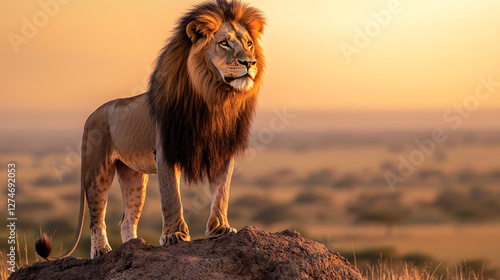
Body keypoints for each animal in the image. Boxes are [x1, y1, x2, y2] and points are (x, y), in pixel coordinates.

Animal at [36, 0, 266, 262]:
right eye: (224, 43)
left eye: (248, 43)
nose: (250, 63)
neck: (214, 98)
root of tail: (92, 114)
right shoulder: (165, 151)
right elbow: (171, 196)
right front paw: (174, 235)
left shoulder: (222, 150)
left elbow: (222, 192)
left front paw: (220, 228)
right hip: (97, 171)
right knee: (97, 218)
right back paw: (101, 250)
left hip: (134, 177)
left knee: (126, 221)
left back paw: (133, 247)